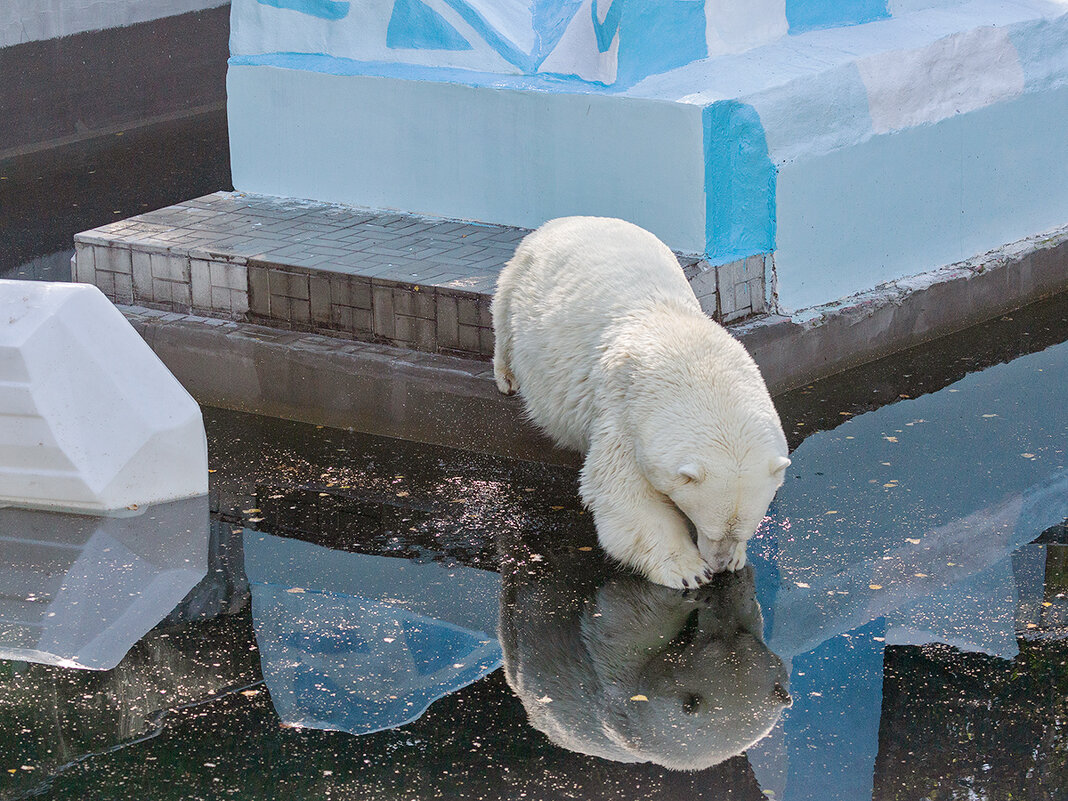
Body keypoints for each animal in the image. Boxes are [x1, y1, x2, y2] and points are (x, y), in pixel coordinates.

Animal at [493, 220, 794, 589]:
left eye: (742, 531)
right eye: (710, 530)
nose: (720, 565)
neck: (691, 353)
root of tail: (567, 220)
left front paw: (736, 559)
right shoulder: (625, 408)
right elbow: (625, 493)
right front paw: (688, 570)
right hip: (522, 278)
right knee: (503, 317)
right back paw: (507, 377)